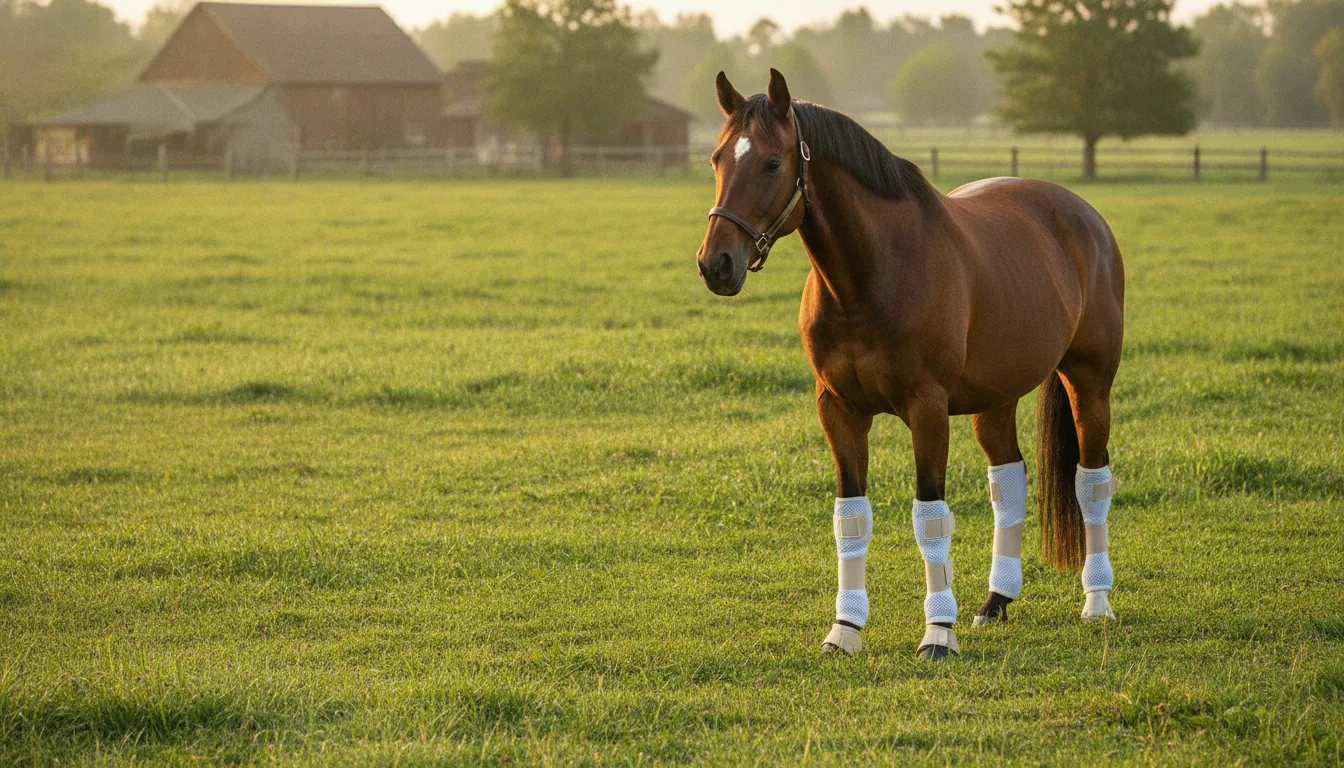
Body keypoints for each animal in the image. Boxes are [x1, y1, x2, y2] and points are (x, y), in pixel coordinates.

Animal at [696, 70, 1124, 660]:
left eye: (771, 163)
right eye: (717, 158)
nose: (716, 264)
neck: (870, 276)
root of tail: (1085, 215)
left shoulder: (927, 409)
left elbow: (930, 517)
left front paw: (937, 632)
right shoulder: (838, 410)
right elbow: (851, 518)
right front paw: (844, 630)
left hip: (1090, 384)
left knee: (1091, 483)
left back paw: (1096, 602)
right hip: (996, 399)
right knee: (1009, 482)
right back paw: (995, 602)